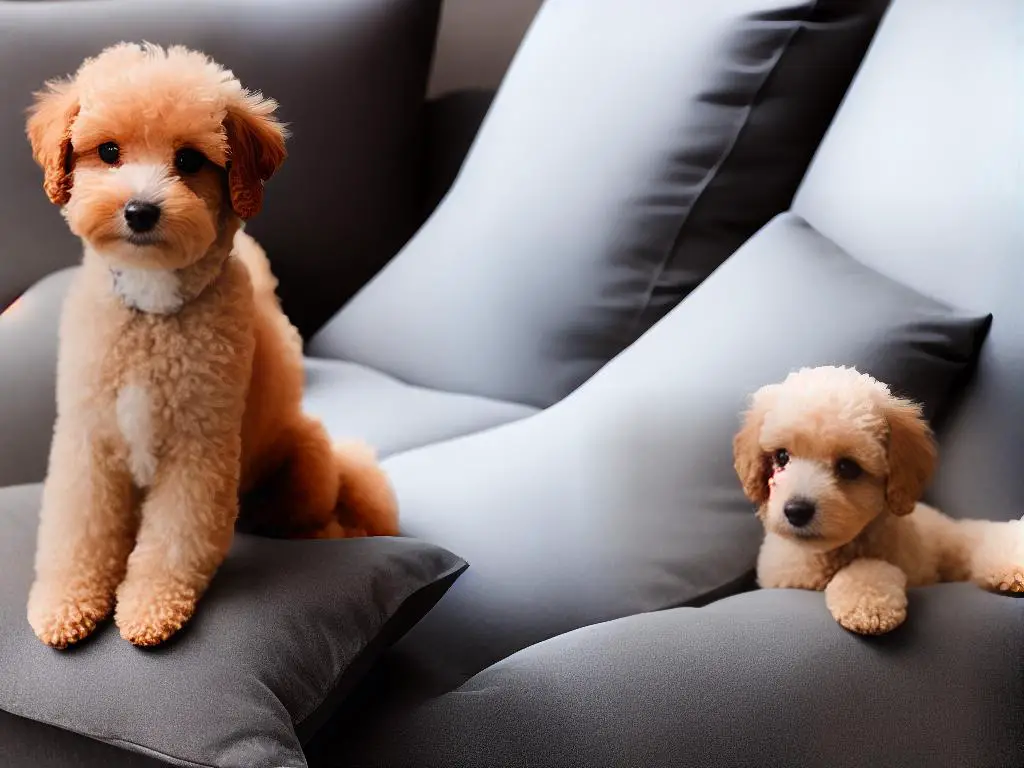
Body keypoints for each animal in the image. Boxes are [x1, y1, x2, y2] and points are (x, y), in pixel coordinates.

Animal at [23, 43, 399, 651]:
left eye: (190, 160)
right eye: (109, 151)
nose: (140, 211)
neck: (153, 312)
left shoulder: (199, 447)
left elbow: (177, 537)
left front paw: (149, 608)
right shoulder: (89, 438)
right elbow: (78, 529)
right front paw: (65, 602)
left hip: (308, 464)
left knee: (320, 523)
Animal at [733, 366, 1019, 638]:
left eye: (848, 467)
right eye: (781, 457)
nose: (796, 511)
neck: (832, 554)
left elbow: (868, 568)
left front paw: (869, 607)